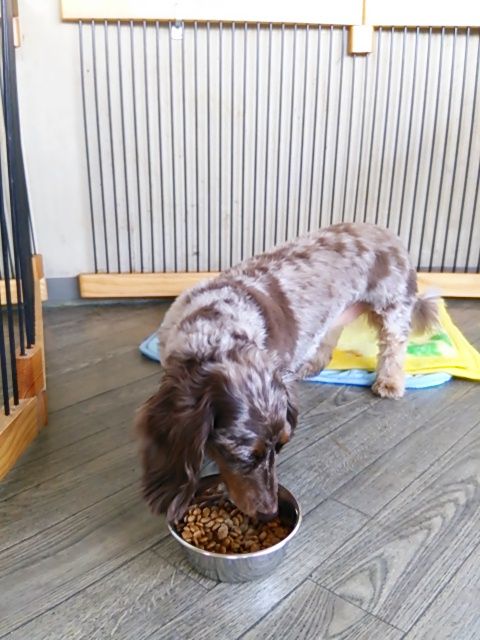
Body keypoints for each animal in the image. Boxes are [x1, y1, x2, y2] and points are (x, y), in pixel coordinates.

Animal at [136, 223, 438, 522]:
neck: (216, 329)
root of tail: (384, 230)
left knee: (393, 346)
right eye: (245, 458)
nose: (269, 513)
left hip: (392, 305)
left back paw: (390, 382)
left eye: (281, 447)